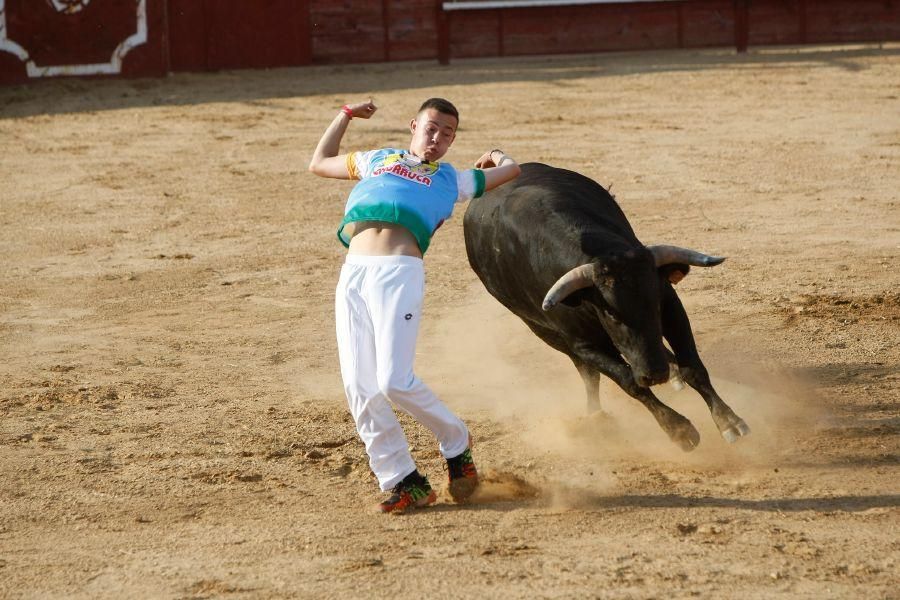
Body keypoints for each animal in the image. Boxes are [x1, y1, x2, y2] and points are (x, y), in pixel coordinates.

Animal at [464, 162, 752, 452]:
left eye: (656, 304)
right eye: (611, 313)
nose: (654, 374)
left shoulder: (672, 307)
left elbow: (692, 367)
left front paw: (729, 422)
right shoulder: (583, 344)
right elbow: (627, 381)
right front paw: (679, 430)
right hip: (544, 332)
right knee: (590, 375)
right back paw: (596, 415)